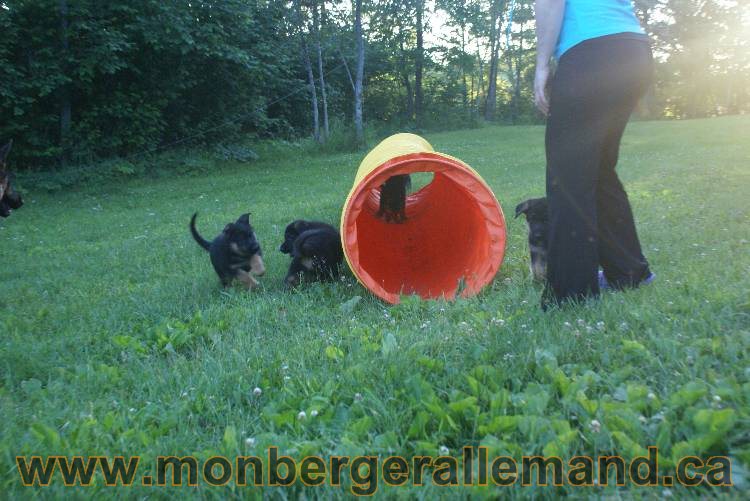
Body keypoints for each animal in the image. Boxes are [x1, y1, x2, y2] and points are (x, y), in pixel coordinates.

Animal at [342, 133, 508, 302]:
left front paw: (396, 218)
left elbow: (397, 212)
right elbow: (385, 210)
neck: (393, 189)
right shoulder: (388, 200)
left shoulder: (399, 202)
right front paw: (385, 216)